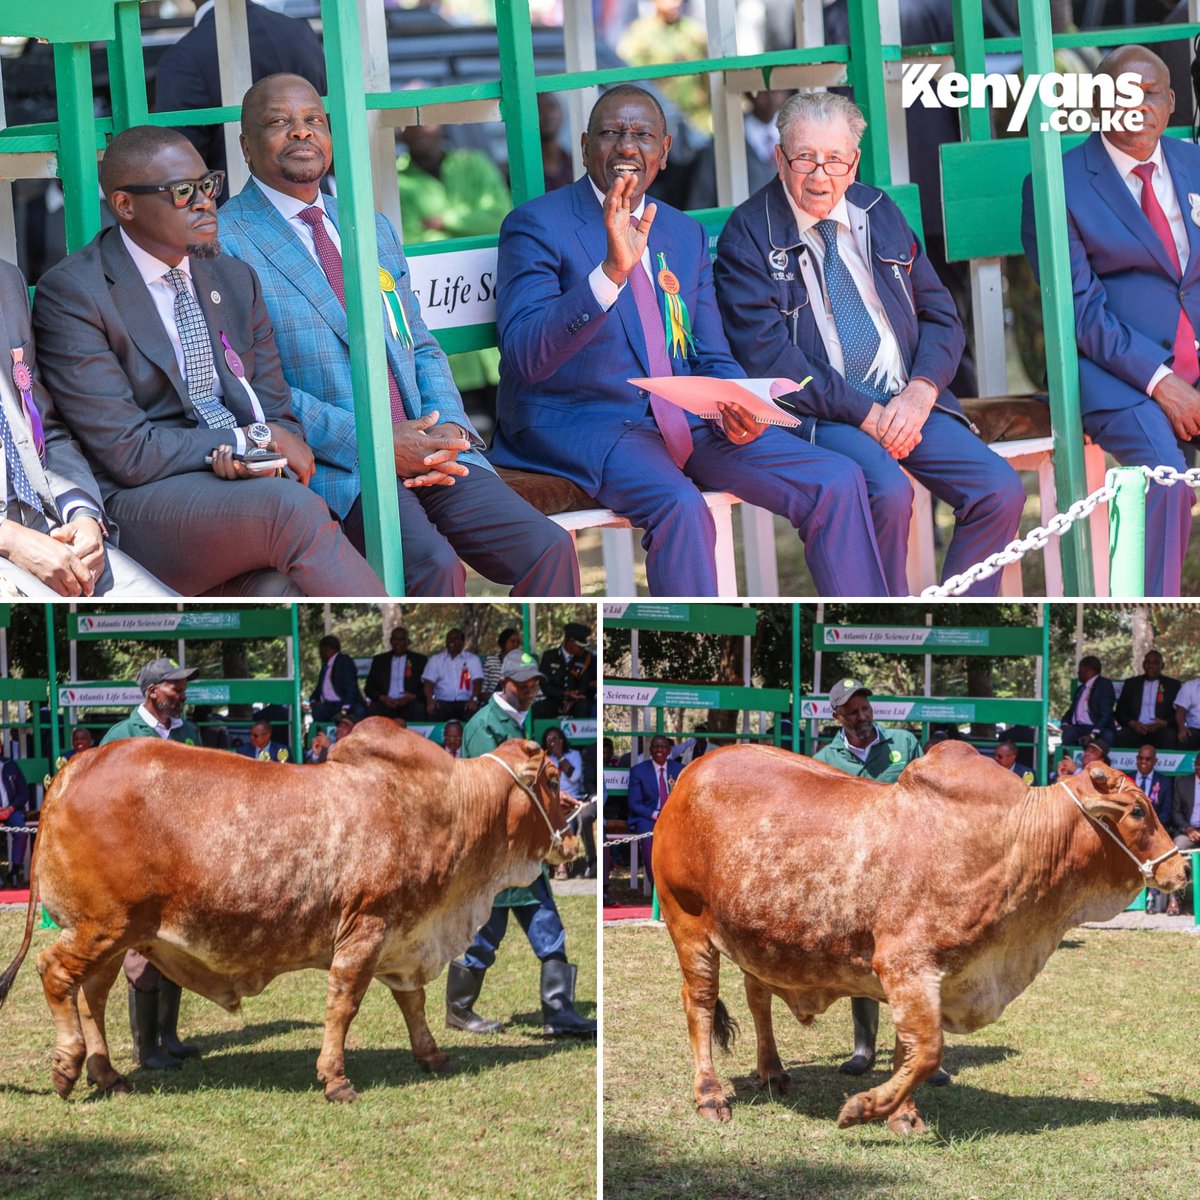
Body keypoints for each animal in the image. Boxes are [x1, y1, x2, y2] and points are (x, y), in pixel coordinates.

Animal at [0, 720, 579, 1103]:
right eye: (552, 778)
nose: (576, 826)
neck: (447, 807)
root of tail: (75, 766)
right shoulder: (367, 928)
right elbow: (344, 1005)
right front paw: (336, 1079)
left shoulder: (404, 937)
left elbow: (412, 1002)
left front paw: (432, 1055)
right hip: (102, 927)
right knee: (56, 974)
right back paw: (67, 1067)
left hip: (115, 934)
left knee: (92, 994)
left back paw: (109, 1075)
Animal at [653, 740, 1187, 1134]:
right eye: (1137, 811)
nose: (1181, 869)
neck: (1013, 841)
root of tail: (692, 771)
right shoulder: (906, 965)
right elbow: (928, 1050)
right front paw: (865, 1108)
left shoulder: (923, 976)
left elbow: (908, 1049)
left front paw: (902, 1115)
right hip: (688, 924)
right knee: (699, 1003)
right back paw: (710, 1096)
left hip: (758, 936)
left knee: (757, 994)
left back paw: (773, 1072)